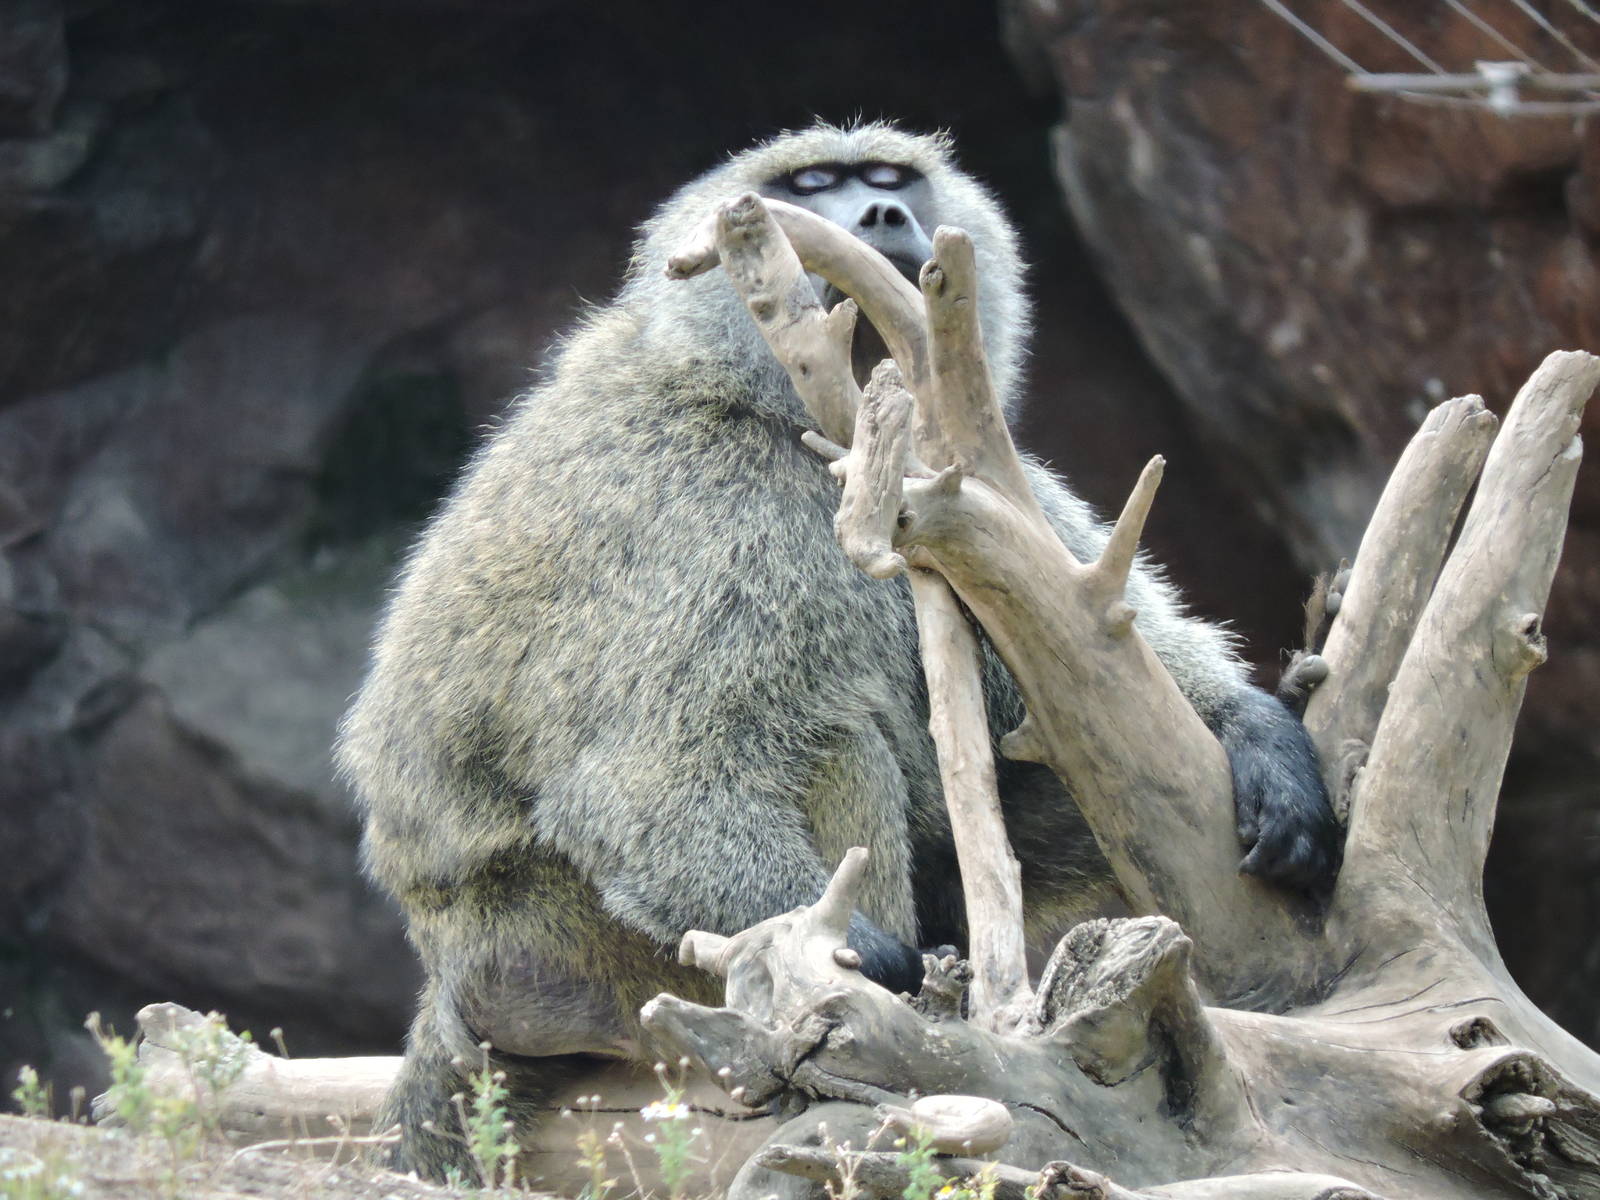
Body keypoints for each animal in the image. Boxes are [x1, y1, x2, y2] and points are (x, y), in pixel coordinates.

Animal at [335, 121, 1341, 1183]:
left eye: (891, 178)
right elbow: (643, 782)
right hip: (571, 944)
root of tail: (450, 960)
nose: (884, 216)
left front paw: (1264, 738)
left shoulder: (949, 486)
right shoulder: (706, 510)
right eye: (815, 184)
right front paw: (865, 955)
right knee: (827, 739)